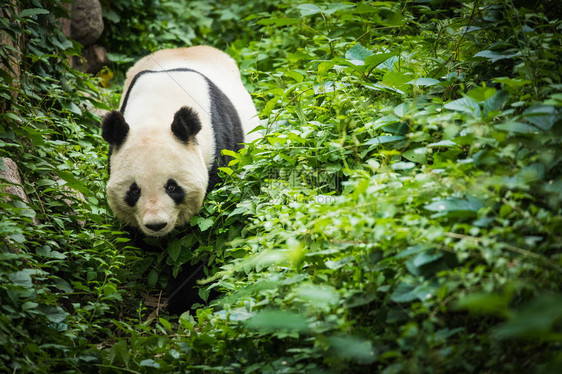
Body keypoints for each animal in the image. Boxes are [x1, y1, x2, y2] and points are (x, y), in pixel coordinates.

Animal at [100, 46, 258, 312]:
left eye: (172, 187)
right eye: (134, 190)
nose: (156, 224)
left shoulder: (220, 150)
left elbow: (208, 234)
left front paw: (187, 298)